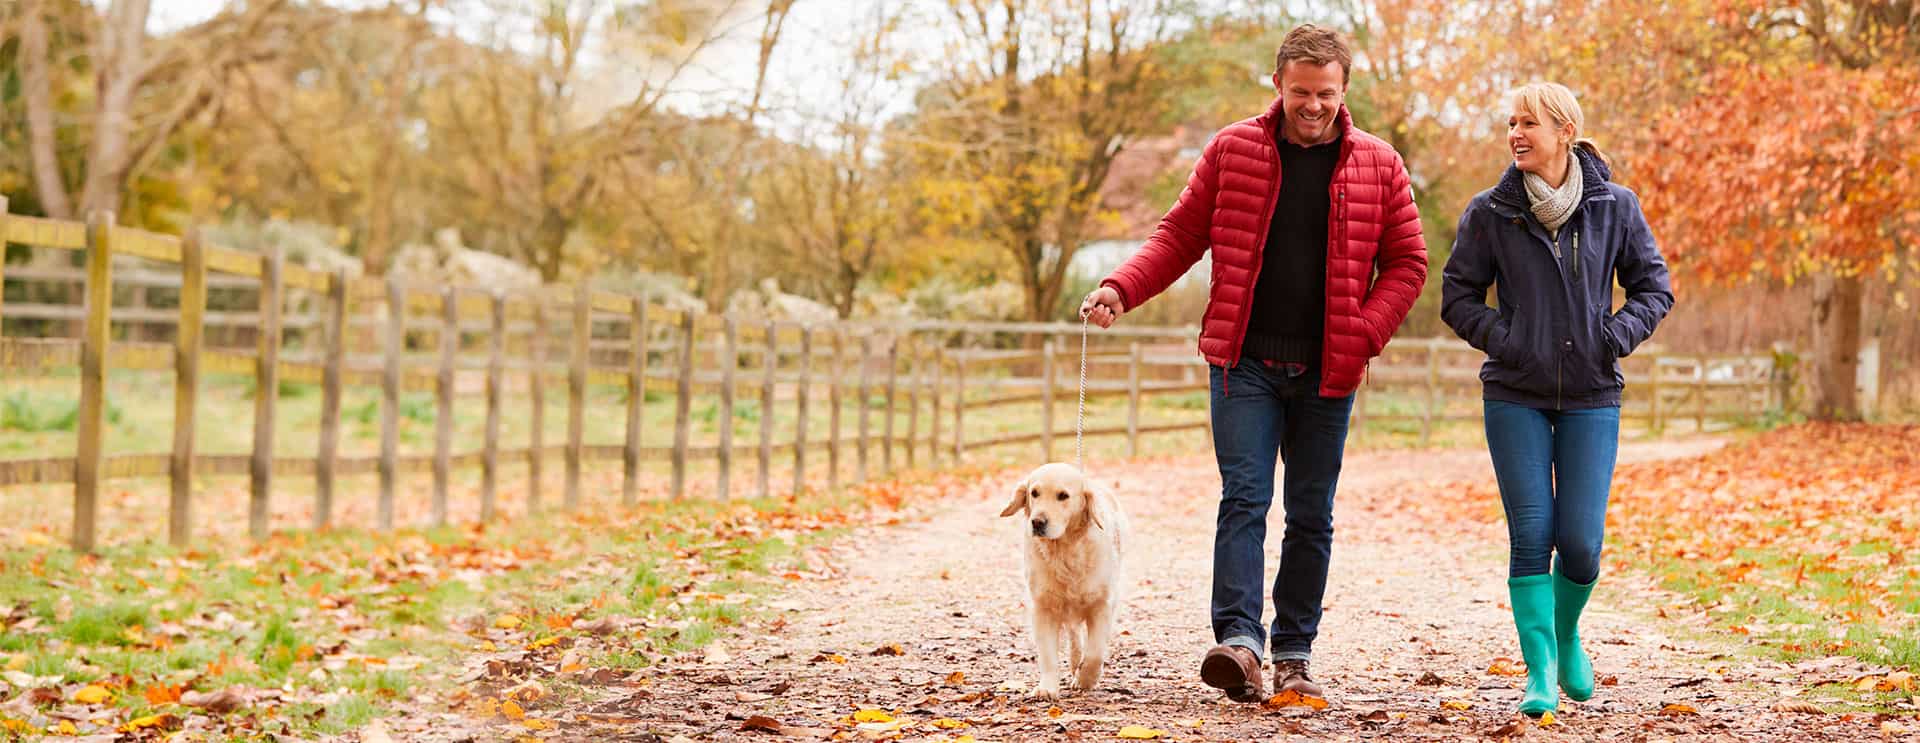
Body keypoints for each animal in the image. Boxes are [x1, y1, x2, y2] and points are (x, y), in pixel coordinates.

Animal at [998, 462, 1128, 702]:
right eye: (1034, 493)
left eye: (1063, 496)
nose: (1037, 522)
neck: (1065, 550)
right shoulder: (1043, 608)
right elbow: (1048, 656)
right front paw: (1047, 688)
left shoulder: (1102, 605)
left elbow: (1095, 652)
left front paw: (1086, 680)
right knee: (1075, 637)